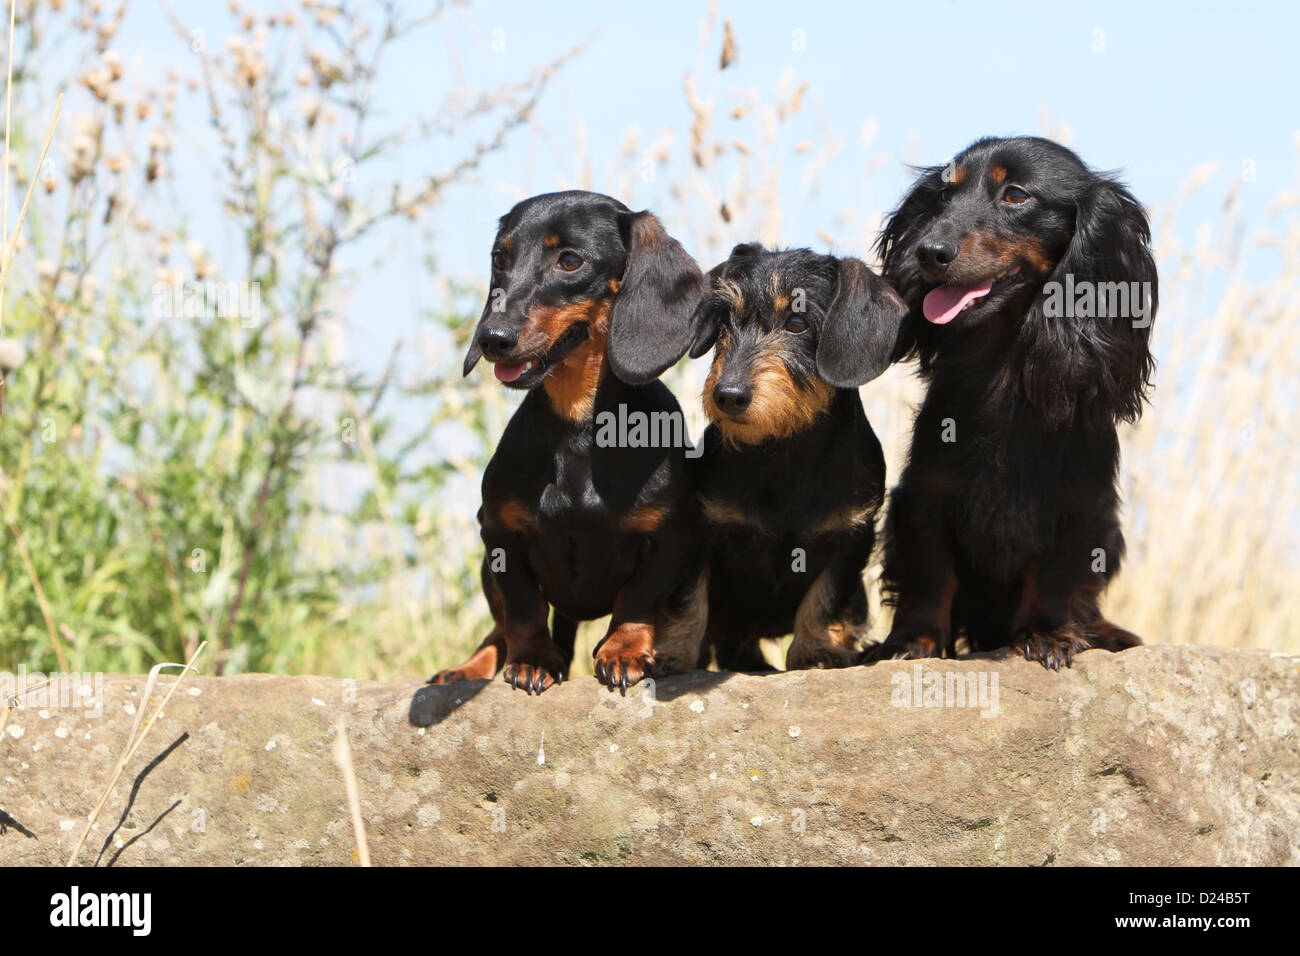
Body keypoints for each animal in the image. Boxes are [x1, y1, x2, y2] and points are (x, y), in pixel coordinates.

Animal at [431, 188, 707, 697]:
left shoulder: (668, 538)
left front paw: (623, 652)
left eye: (570, 261)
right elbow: (522, 608)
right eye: (500, 258)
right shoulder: (499, 533)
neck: (579, 427)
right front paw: (534, 660)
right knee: (498, 629)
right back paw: (467, 668)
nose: (491, 337)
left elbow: (637, 601)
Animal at [681, 243, 904, 671]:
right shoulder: (701, 530)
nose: (727, 395)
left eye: (797, 322)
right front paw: (669, 655)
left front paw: (816, 651)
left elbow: (824, 599)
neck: (785, 451)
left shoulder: (852, 536)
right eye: (724, 321)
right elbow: (690, 601)